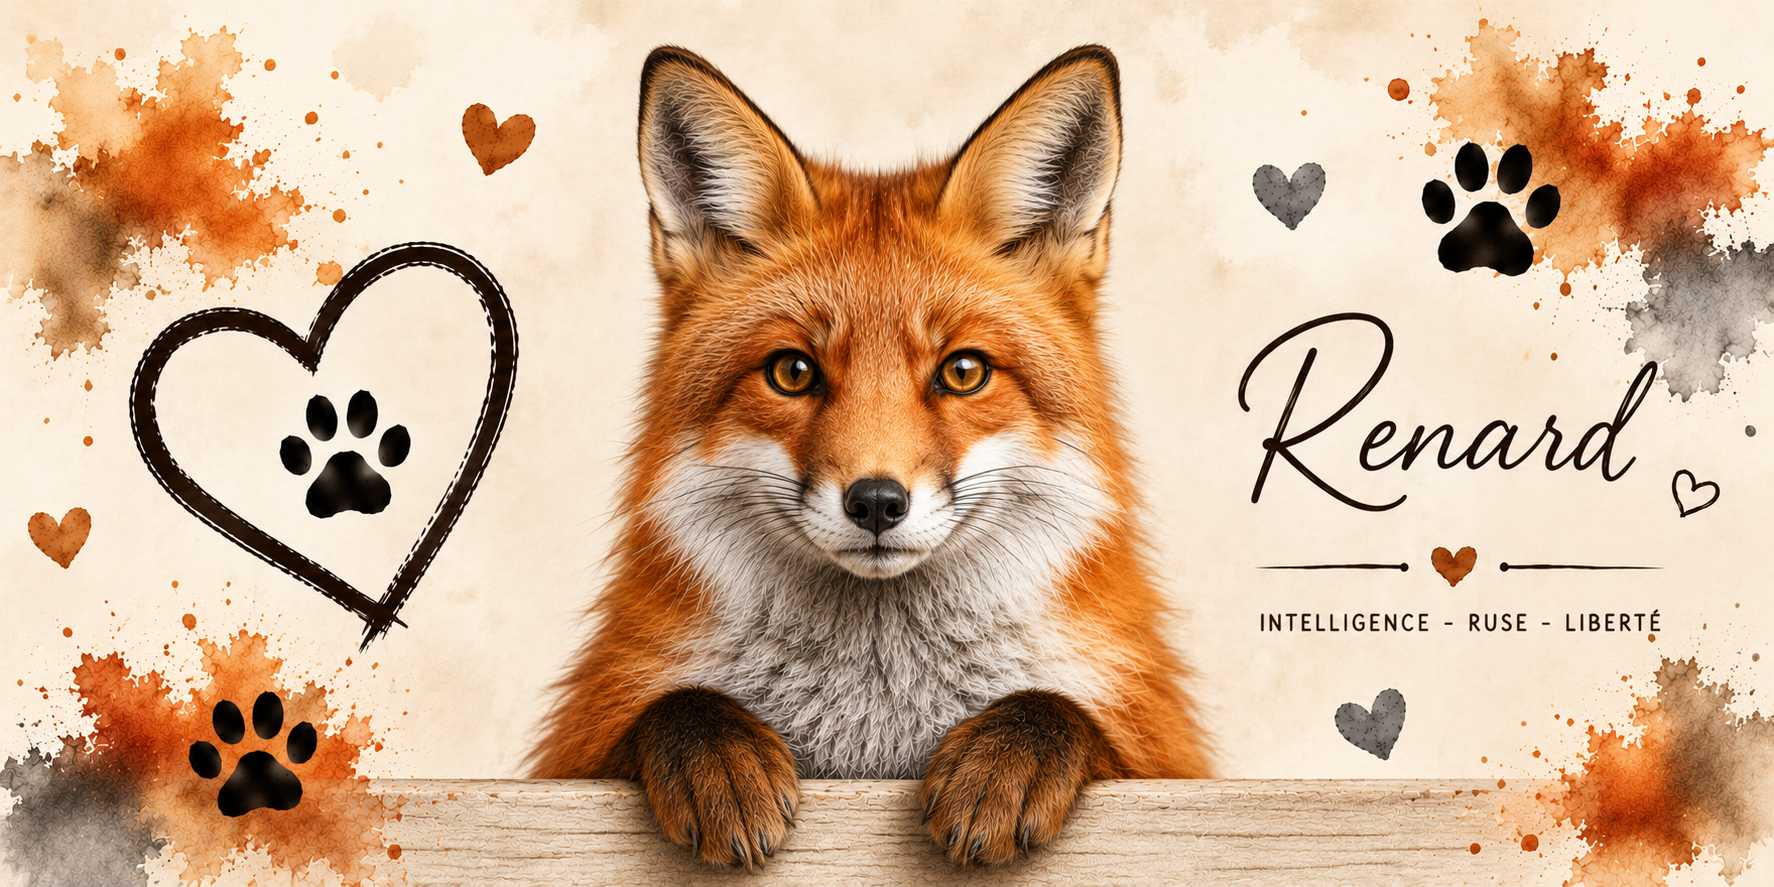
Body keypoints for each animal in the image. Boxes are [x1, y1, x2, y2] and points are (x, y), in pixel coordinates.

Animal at [530, 44, 1210, 868]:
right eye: (793, 371)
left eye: (963, 371)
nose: (878, 501)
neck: (878, 707)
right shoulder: (582, 742)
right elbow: (670, 707)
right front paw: (713, 753)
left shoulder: (1161, 749)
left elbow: (1067, 713)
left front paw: (1009, 755)